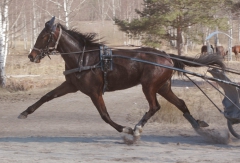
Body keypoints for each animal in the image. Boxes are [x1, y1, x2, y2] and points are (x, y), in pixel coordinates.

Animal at [18, 17, 225, 141]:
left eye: (44, 36)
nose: (31, 56)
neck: (83, 58)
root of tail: (166, 56)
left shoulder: (94, 92)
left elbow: (104, 115)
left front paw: (125, 129)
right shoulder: (70, 85)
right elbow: (46, 97)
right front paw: (25, 112)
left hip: (149, 86)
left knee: (154, 107)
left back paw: (137, 128)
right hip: (163, 86)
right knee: (180, 103)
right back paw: (198, 125)